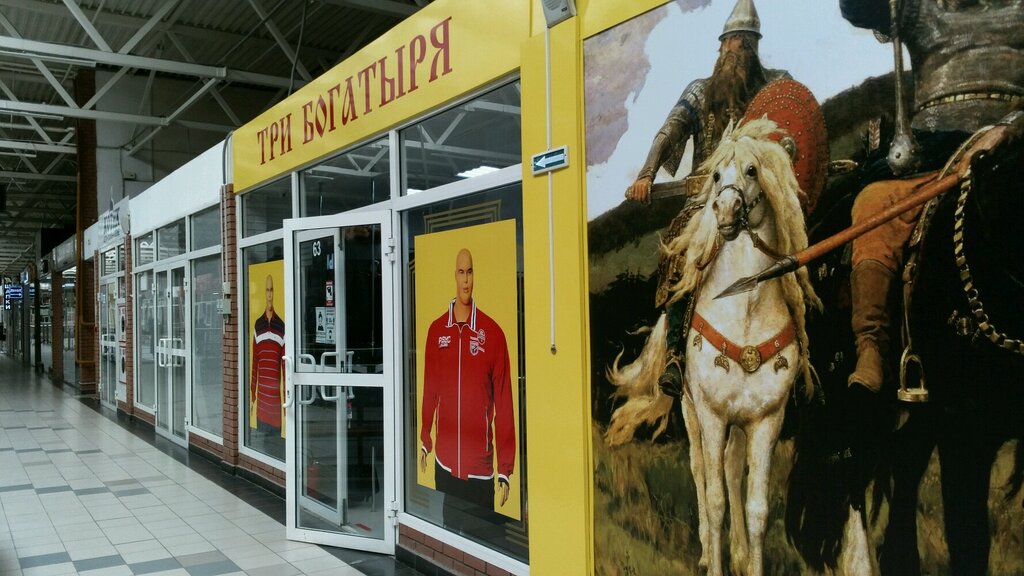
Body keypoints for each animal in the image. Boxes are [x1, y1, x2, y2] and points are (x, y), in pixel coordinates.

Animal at [607, 118, 837, 576]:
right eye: (715, 175)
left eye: (752, 171)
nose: (726, 212)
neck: (744, 306)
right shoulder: (712, 416)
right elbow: (713, 499)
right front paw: (714, 562)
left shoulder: (766, 420)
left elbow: (757, 507)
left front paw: (749, 560)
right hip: (692, 412)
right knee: (702, 472)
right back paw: (705, 551)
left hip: (738, 423)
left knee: (731, 470)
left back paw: (738, 553)